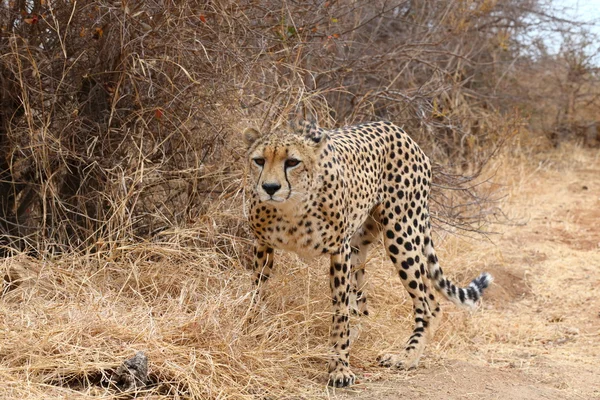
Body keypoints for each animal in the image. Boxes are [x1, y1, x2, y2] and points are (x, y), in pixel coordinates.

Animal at [244, 119, 492, 388]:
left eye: (292, 162)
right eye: (259, 160)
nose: (270, 187)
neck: (291, 208)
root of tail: (396, 128)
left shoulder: (339, 250)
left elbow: (340, 313)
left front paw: (339, 367)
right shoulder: (262, 244)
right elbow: (256, 292)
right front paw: (250, 330)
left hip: (401, 234)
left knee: (427, 304)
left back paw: (406, 357)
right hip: (359, 244)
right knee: (365, 306)